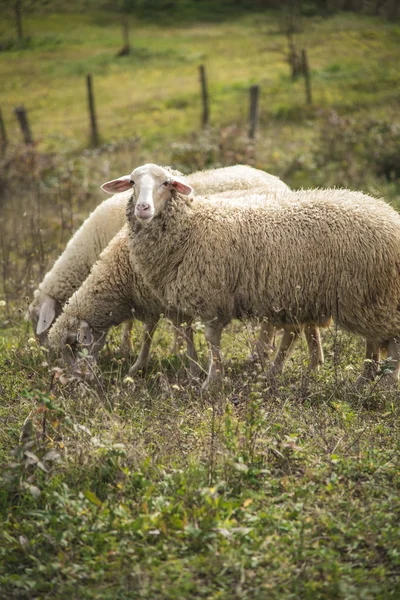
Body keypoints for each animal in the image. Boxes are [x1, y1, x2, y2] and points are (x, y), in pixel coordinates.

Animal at [104, 164, 400, 390]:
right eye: (132, 182)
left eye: (166, 183)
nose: (143, 208)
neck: (193, 224)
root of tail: (389, 214)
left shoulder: (212, 298)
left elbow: (211, 340)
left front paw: (211, 382)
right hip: (362, 298)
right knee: (375, 339)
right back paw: (365, 380)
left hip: (371, 296)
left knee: (389, 337)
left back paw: (384, 384)